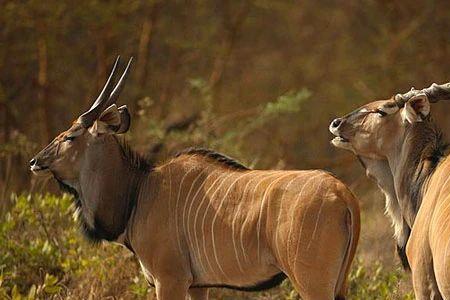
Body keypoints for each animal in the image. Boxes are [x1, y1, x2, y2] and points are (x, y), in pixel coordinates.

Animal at [29, 56, 360, 300]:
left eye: (70, 136)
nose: (35, 162)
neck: (140, 191)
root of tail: (342, 193)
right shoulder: (199, 285)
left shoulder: (170, 279)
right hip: (337, 285)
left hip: (312, 283)